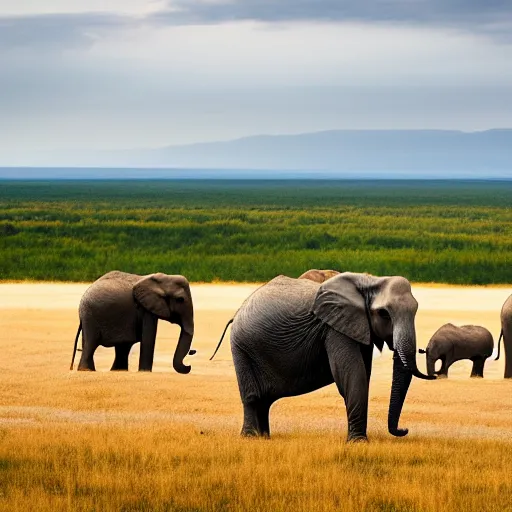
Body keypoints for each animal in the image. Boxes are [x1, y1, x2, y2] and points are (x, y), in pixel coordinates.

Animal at [211, 270, 432, 442]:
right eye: (384, 314)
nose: (404, 430)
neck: (370, 281)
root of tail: (238, 312)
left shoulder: (357, 325)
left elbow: (363, 374)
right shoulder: (334, 327)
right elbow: (352, 375)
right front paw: (358, 442)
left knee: (264, 401)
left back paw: (265, 438)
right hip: (242, 347)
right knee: (252, 397)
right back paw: (250, 438)